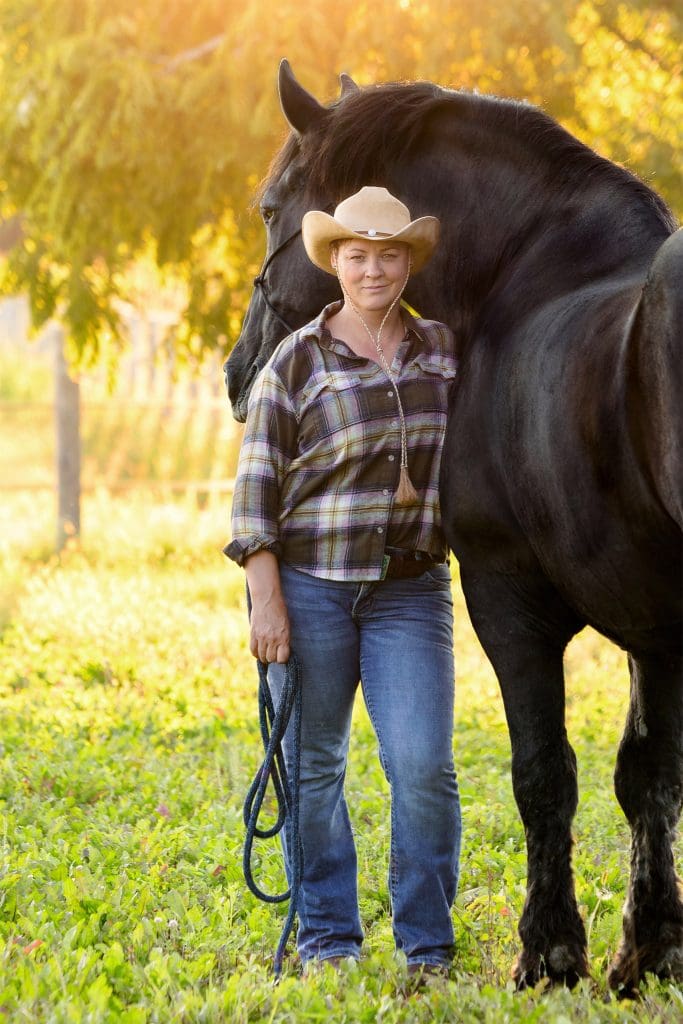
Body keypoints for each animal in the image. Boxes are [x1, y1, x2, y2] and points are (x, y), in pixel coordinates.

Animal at [225, 59, 682, 994]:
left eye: (266, 207)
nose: (239, 374)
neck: (536, 281)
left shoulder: (509, 599)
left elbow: (545, 774)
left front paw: (549, 955)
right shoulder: (652, 630)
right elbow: (646, 776)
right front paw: (646, 953)